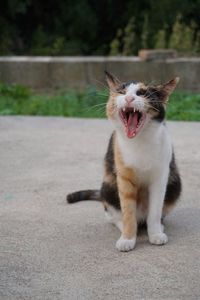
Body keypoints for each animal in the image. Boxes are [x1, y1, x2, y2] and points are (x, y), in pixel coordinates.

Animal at [67, 71, 181, 252]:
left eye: (142, 93)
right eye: (121, 92)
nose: (128, 98)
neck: (139, 141)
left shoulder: (160, 177)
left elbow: (156, 210)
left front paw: (155, 234)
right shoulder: (123, 176)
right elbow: (127, 211)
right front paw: (128, 238)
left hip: (175, 183)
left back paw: (158, 227)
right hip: (108, 185)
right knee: (112, 216)